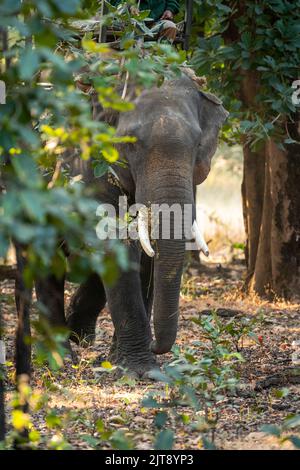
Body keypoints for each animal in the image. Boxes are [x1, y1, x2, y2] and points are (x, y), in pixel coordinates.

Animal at [35, 71, 227, 376]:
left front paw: (125, 361)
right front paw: (139, 370)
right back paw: (61, 357)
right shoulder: (90, 164)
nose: (156, 345)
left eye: (198, 145)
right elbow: (118, 243)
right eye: (130, 144)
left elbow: (146, 254)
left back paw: (79, 335)